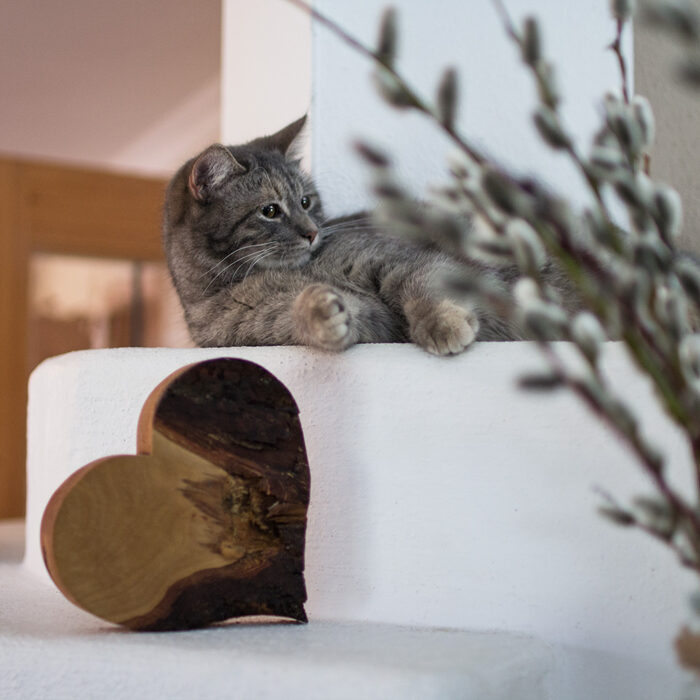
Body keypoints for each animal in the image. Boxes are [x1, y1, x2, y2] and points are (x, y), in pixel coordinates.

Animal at [163, 118, 524, 356]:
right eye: (270, 210)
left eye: (305, 202)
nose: (312, 233)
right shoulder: (269, 327)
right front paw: (317, 312)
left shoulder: (393, 257)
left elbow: (420, 283)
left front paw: (442, 323)